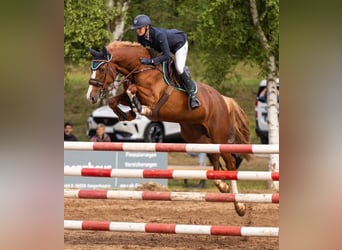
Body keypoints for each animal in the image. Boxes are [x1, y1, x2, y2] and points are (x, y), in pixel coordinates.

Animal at [86, 40, 251, 215]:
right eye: (91, 68)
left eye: (102, 69)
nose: (91, 97)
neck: (141, 68)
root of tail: (223, 99)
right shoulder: (126, 95)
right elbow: (115, 100)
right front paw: (128, 114)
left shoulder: (152, 96)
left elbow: (133, 90)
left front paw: (140, 109)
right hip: (196, 136)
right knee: (214, 157)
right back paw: (222, 186)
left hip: (219, 135)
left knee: (230, 163)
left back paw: (240, 206)